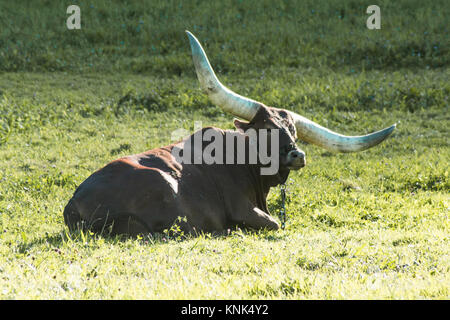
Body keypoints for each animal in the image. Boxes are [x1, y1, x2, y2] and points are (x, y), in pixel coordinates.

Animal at [62, 32, 394, 236]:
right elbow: (274, 223)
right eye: (267, 129)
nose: (297, 154)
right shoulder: (243, 209)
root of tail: (75, 200)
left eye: (293, 132)